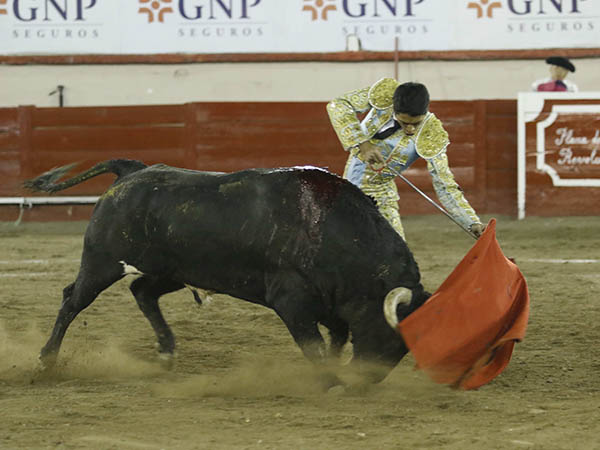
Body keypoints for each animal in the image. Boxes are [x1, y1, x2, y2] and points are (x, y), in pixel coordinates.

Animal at [25, 160, 430, 389]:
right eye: (391, 335)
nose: (367, 380)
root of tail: (133, 171)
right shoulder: (292, 301)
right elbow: (314, 346)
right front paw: (330, 382)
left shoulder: (330, 305)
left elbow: (336, 339)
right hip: (103, 262)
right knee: (73, 300)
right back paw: (46, 360)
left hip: (173, 269)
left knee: (142, 291)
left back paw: (167, 353)